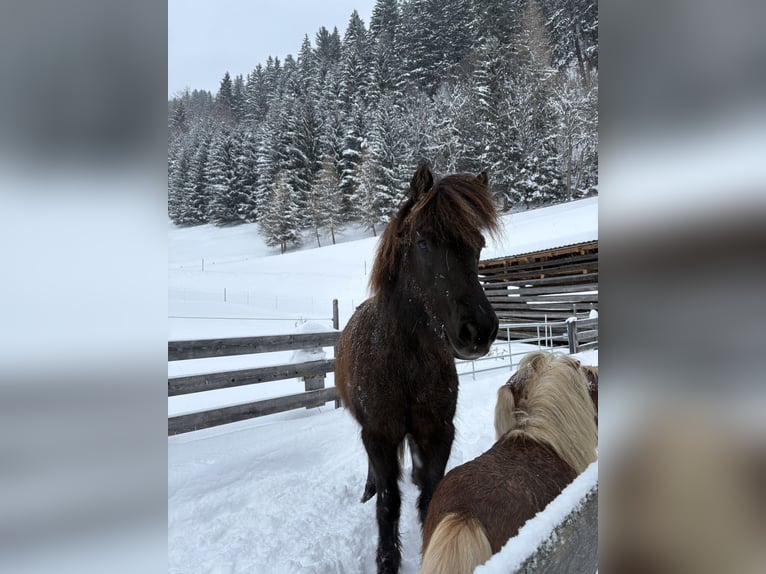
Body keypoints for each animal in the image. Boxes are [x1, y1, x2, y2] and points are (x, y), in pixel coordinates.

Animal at [335, 163, 500, 574]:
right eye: (423, 242)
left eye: (478, 245)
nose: (479, 330)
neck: (405, 363)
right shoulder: (379, 434)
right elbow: (389, 504)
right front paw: (387, 561)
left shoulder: (437, 430)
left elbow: (431, 493)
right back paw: (368, 488)